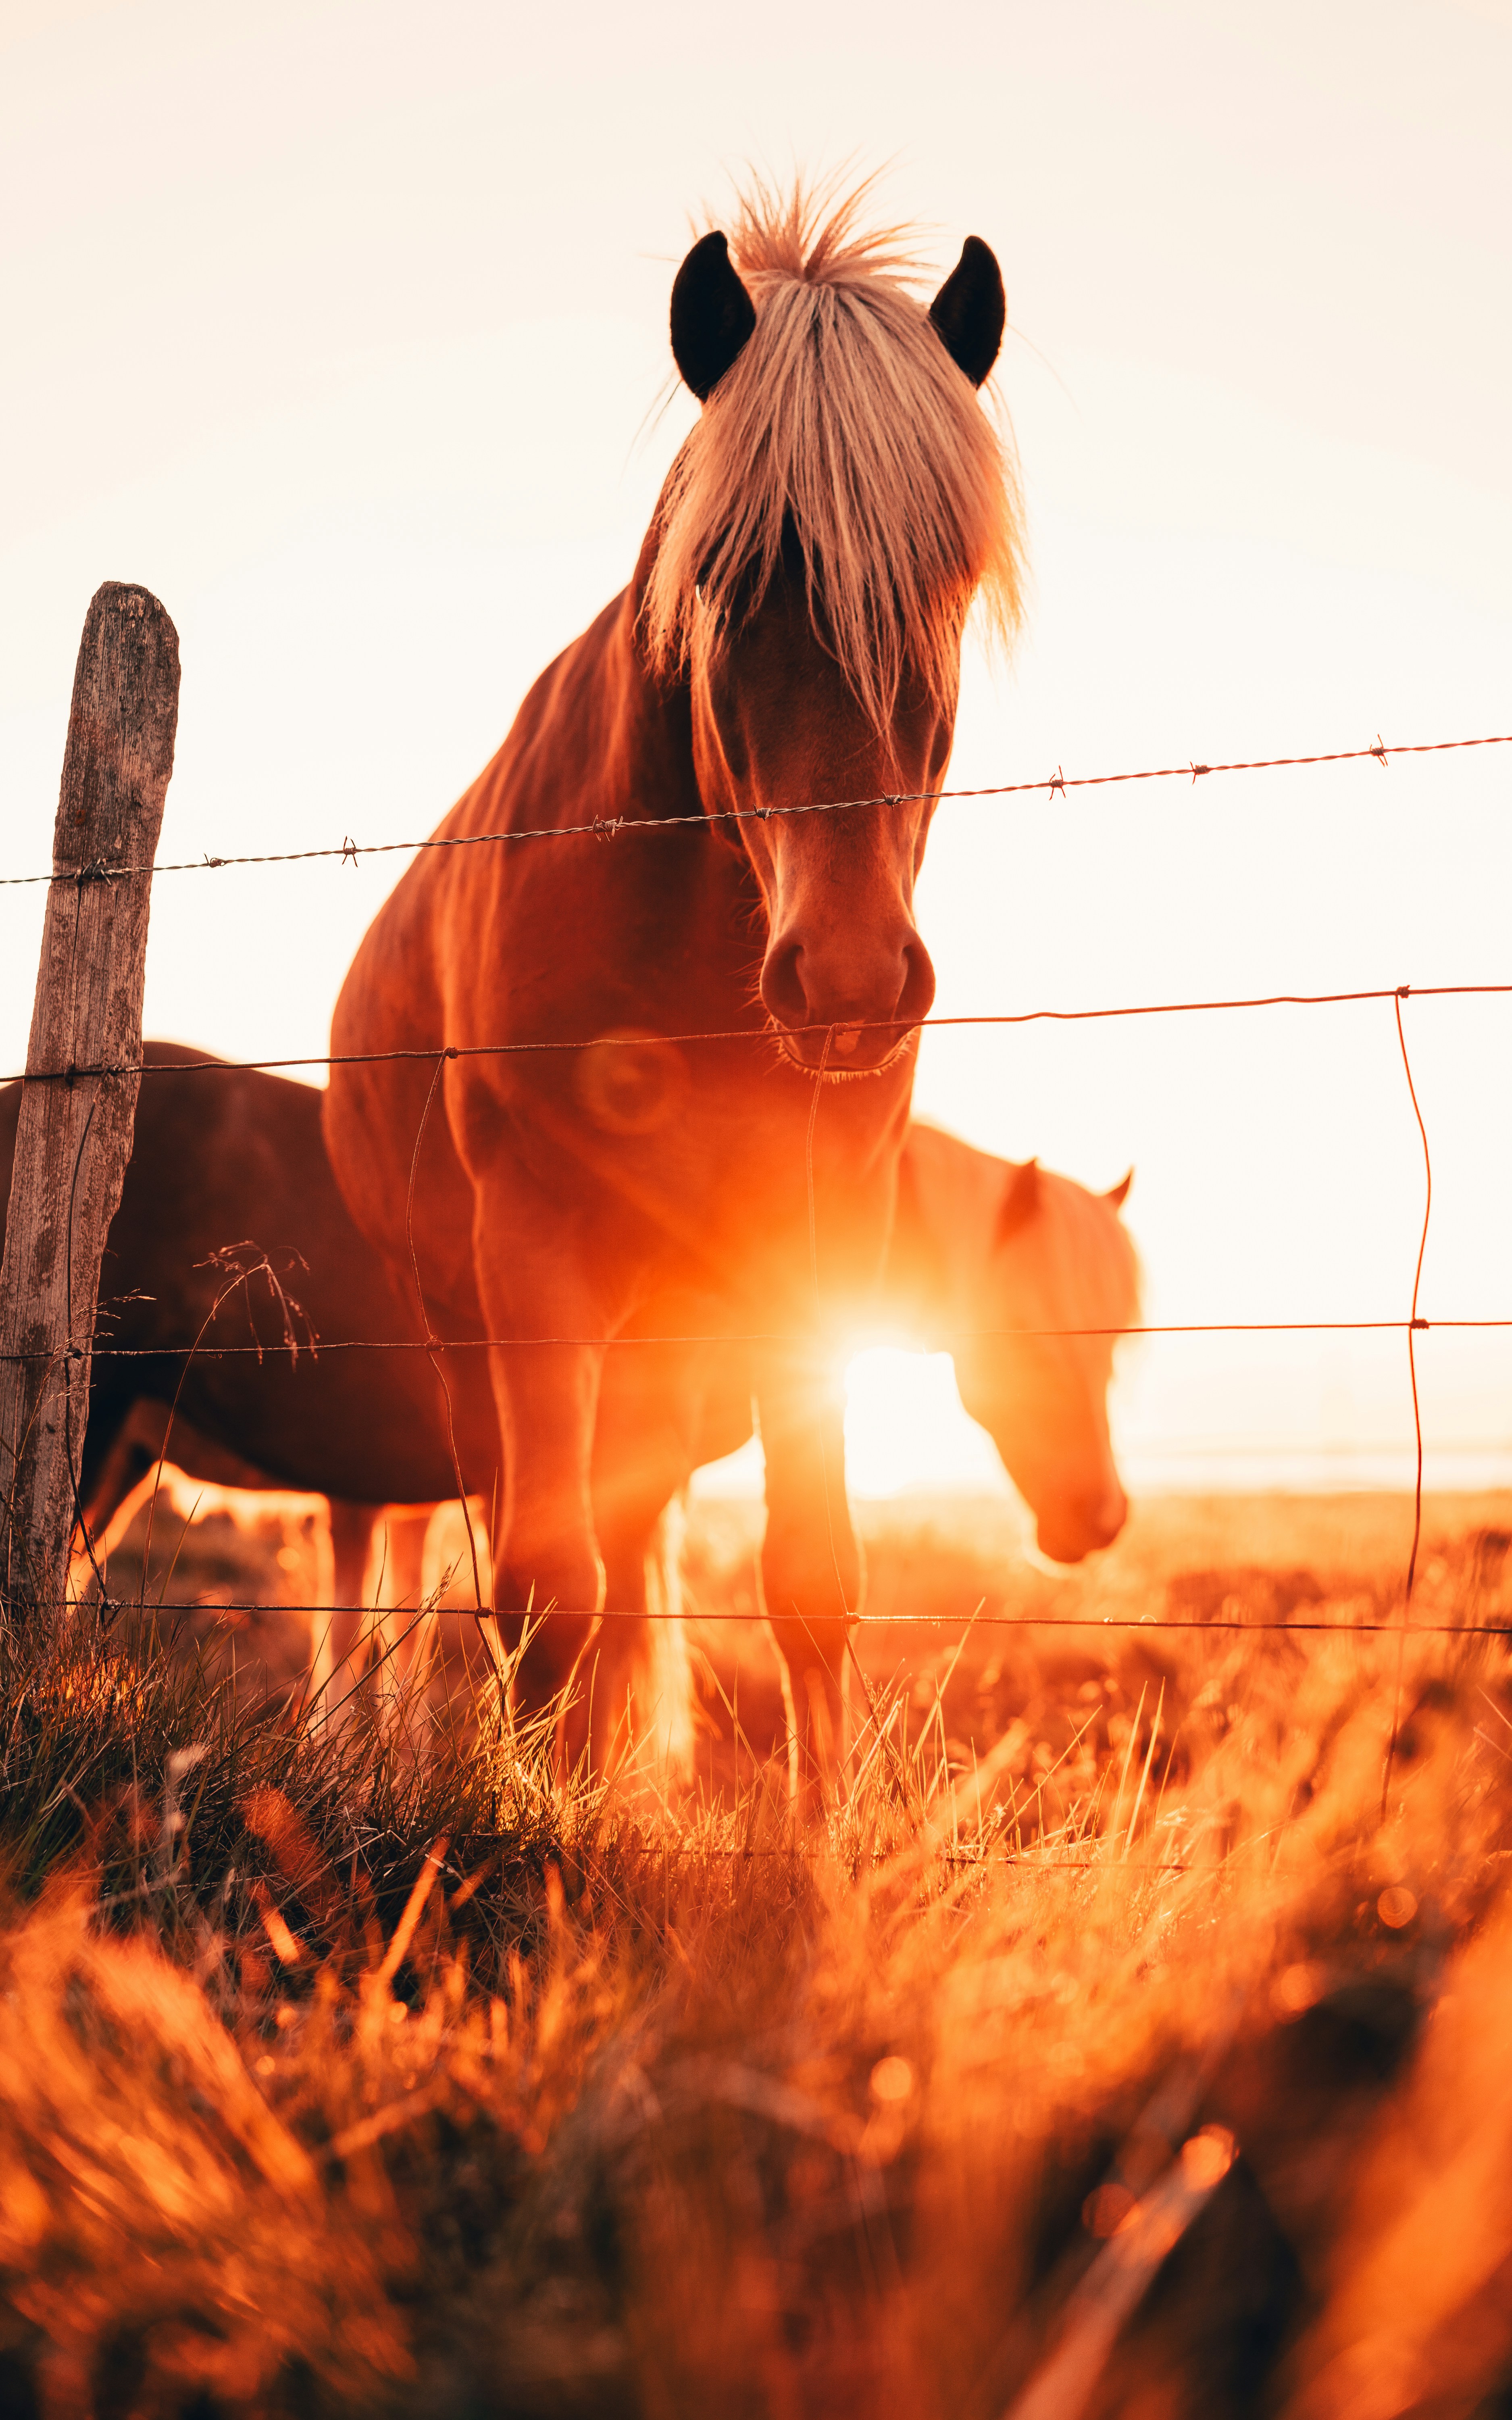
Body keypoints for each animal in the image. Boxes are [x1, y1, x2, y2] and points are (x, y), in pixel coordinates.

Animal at [322, 177, 1025, 1760]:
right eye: (722, 576)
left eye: (945, 581)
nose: (847, 979)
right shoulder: (530, 1253)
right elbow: (539, 1594)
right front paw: (538, 1810)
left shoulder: (811, 1257)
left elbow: (812, 1579)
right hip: (471, 1332)